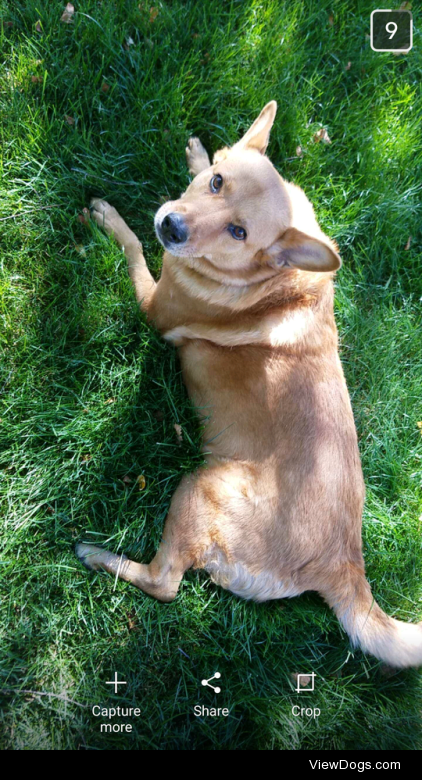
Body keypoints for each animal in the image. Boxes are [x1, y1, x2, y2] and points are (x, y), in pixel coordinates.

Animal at [76, 102, 422, 664]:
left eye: (239, 232)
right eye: (217, 183)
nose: (171, 225)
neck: (270, 280)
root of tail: (343, 563)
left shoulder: (154, 304)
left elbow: (132, 246)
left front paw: (110, 218)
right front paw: (199, 152)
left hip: (198, 489)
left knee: (165, 583)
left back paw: (98, 555)